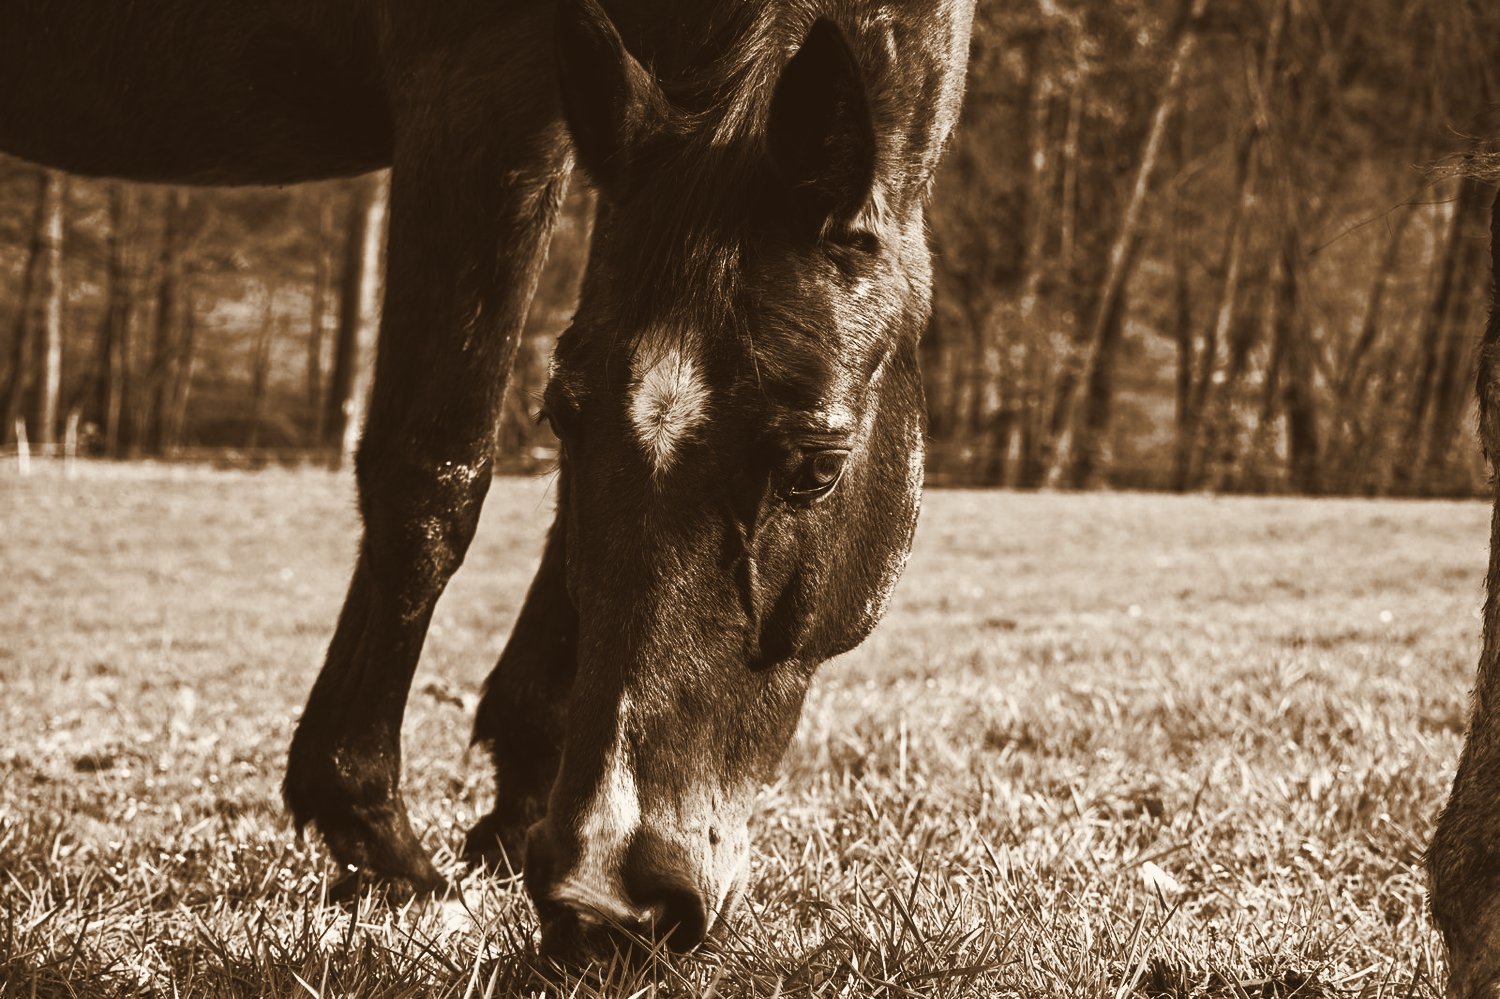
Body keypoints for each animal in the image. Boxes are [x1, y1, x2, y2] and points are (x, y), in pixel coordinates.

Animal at [0, 0, 975, 958]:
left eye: (819, 467)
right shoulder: (481, 88)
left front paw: (515, 805)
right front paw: (377, 839)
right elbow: (432, 473)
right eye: (560, 419)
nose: (609, 904)